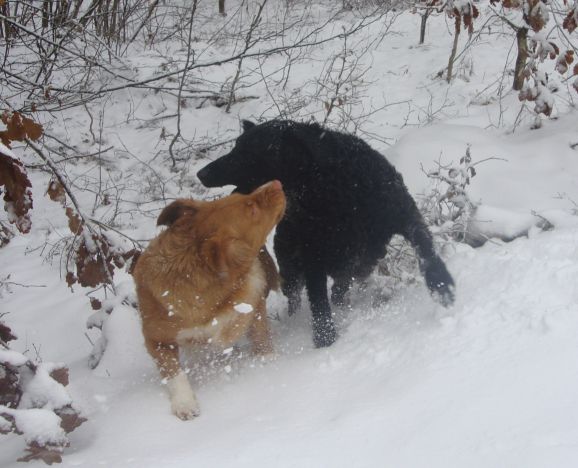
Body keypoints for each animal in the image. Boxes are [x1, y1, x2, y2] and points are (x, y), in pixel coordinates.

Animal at [131, 180, 284, 420]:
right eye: (252, 210)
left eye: (242, 195)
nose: (276, 183)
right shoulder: (155, 338)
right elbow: (173, 372)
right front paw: (184, 402)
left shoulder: (254, 299)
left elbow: (260, 333)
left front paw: (268, 360)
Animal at [196, 120, 452, 348]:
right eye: (235, 147)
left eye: (244, 151)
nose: (201, 173)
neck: (331, 187)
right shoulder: (313, 256)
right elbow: (319, 303)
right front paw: (325, 339)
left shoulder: (404, 213)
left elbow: (425, 246)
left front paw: (442, 284)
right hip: (291, 268)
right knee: (298, 298)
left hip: (356, 263)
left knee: (341, 286)